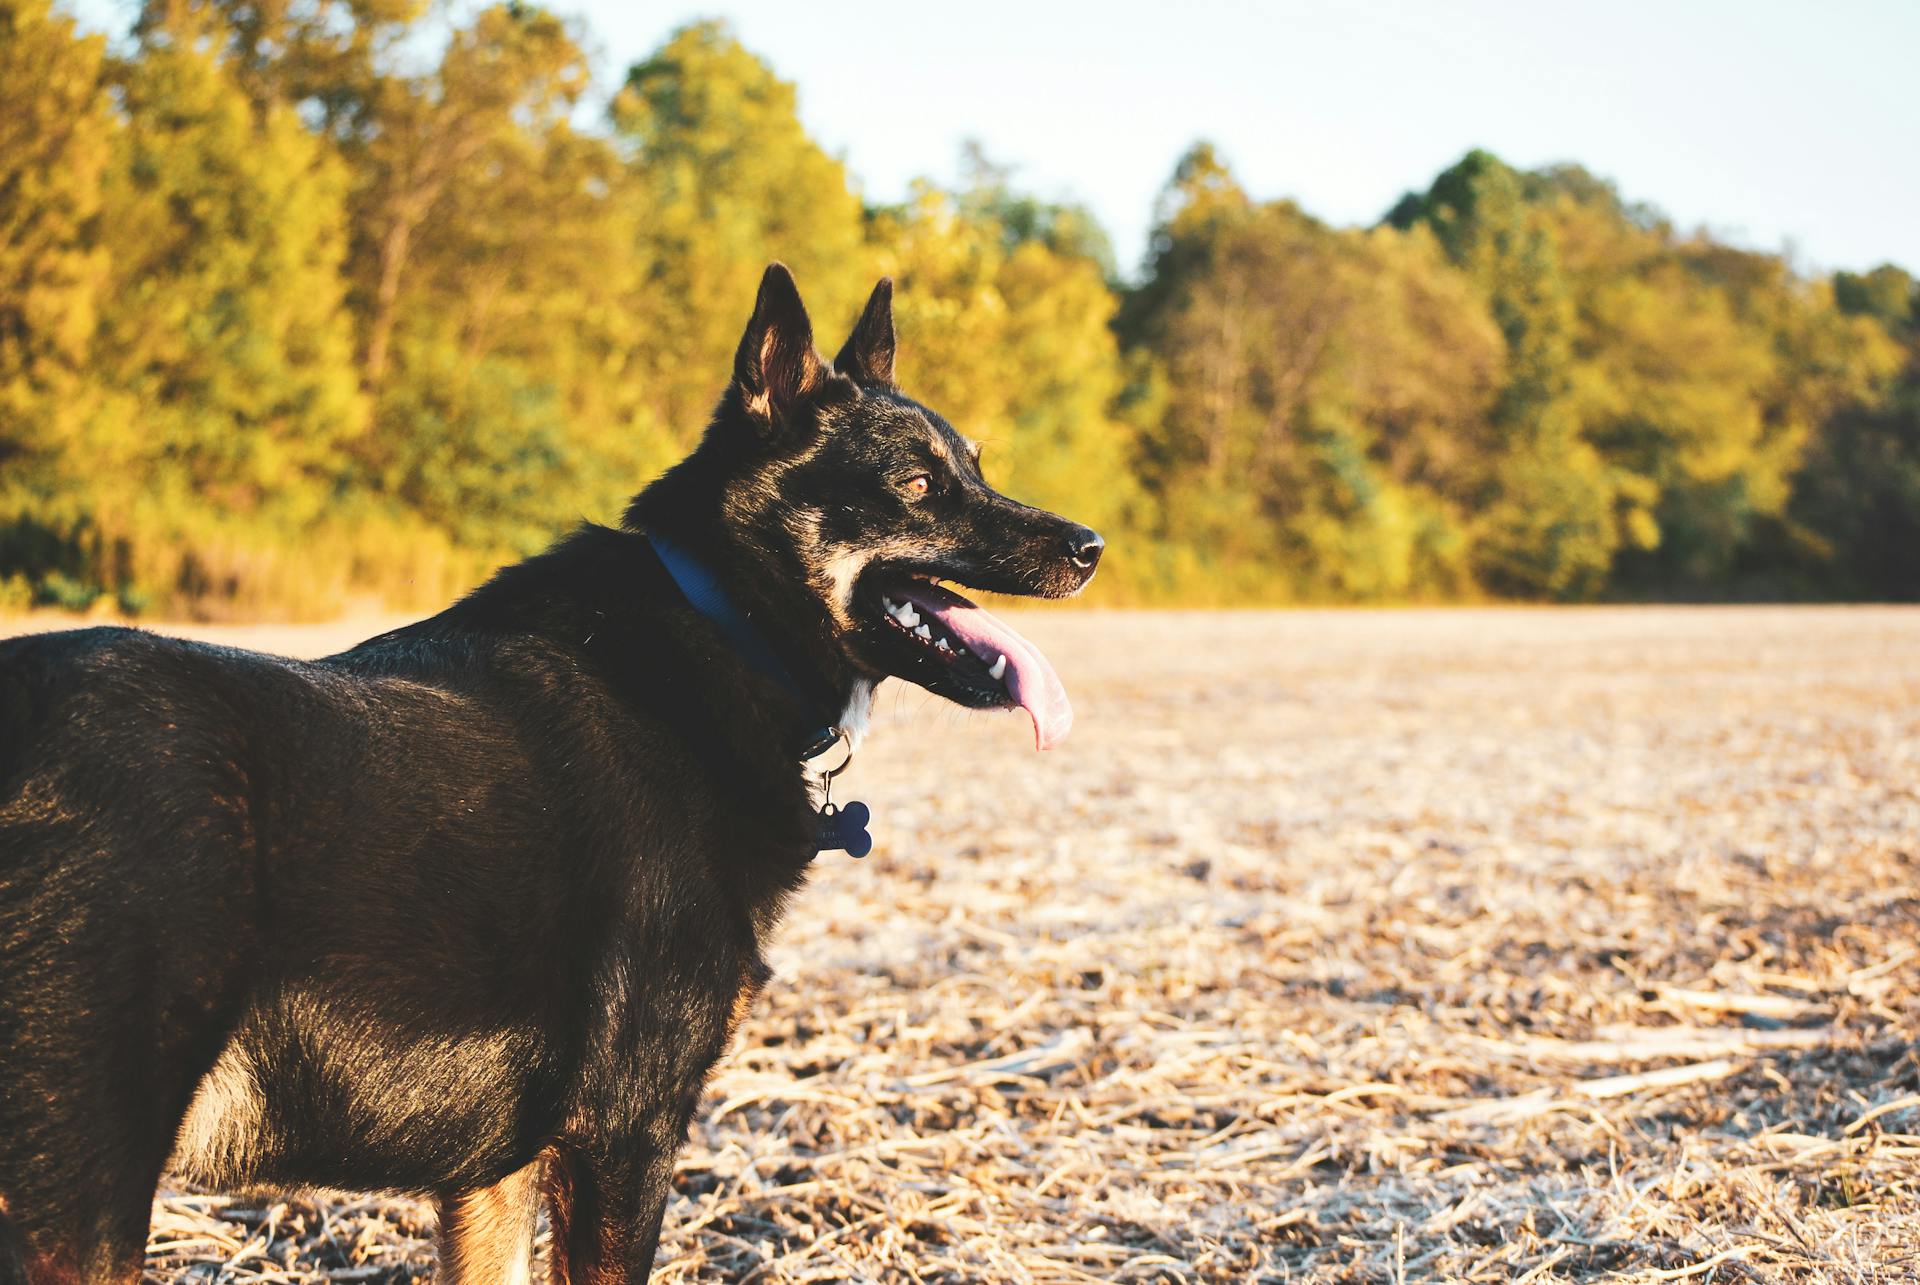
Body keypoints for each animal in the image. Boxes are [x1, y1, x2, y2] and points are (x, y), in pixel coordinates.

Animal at [0, 268, 1105, 1283]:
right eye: (918, 487)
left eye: (973, 468)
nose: (1091, 544)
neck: (721, 622)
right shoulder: (624, 1136)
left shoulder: (496, 1170)